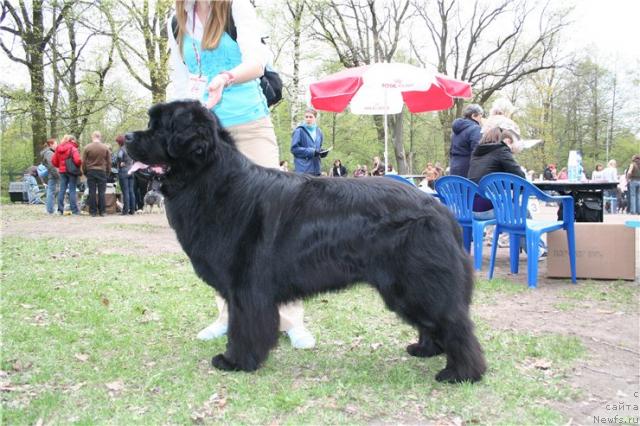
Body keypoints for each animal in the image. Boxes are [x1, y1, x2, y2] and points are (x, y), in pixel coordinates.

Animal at [125, 100, 484, 382]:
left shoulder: (246, 286)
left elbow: (245, 325)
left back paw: (462, 373)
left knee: (455, 322)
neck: (212, 181)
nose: (125, 136)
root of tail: (439, 208)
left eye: (159, 128)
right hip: (407, 286)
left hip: (416, 281)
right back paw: (426, 349)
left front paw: (236, 361)